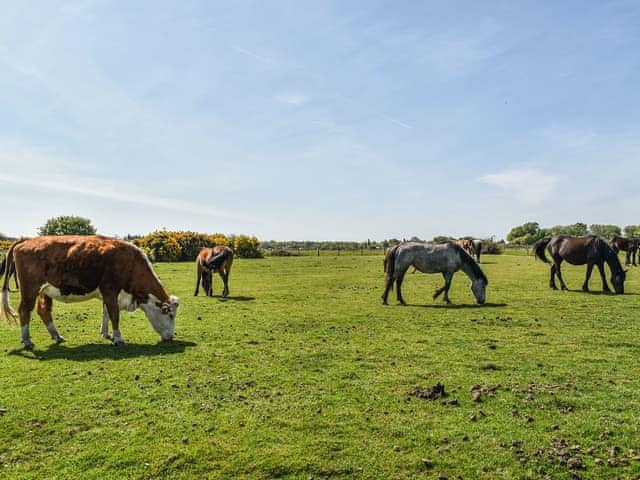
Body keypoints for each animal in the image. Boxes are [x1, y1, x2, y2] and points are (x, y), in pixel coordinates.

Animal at [1, 235, 180, 348]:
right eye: (170, 315)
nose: (171, 336)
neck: (130, 263)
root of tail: (28, 239)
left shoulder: (109, 295)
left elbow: (106, 313)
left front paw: (106, 334)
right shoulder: (110, 290)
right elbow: (114, 314)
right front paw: (118, 338)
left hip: (45, 291)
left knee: (44, 311)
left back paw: (56, 336)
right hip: (30, 290)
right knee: (24, 311)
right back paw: (27, 341)